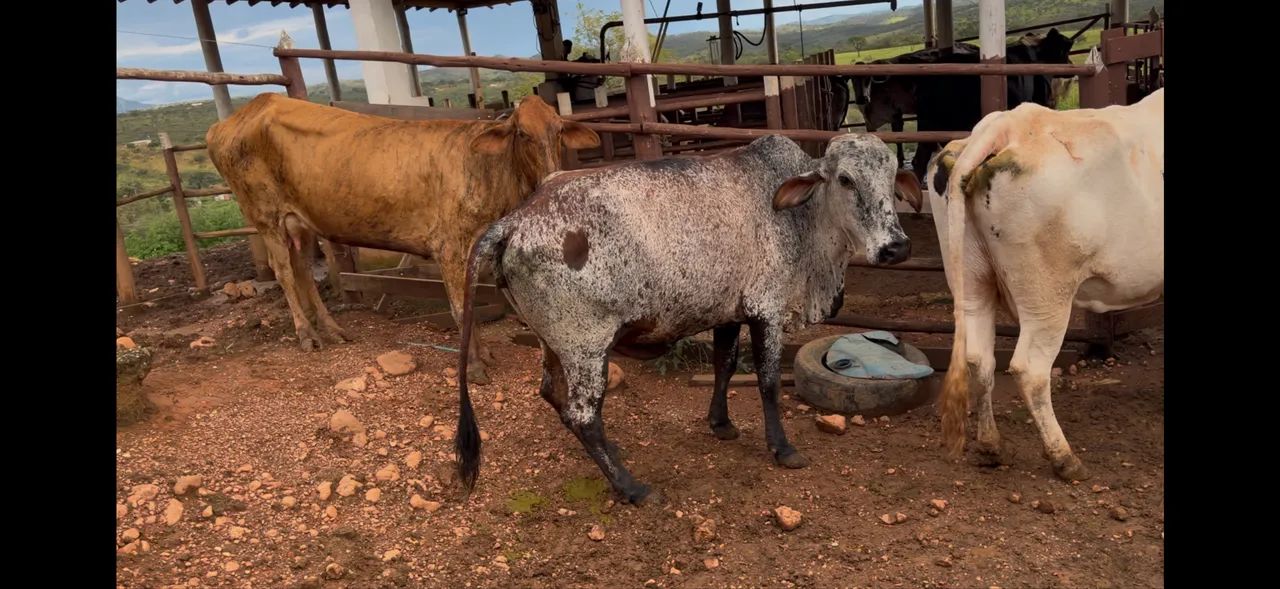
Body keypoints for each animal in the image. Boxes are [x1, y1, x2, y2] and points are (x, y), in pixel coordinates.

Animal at [206, 94, 600, 384]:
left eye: (559, 130)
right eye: (521, 133)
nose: (553, 176)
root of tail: (234, 118)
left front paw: (484, 354)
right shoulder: (449, 247)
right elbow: (461, 309)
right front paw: (473, 367)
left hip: (298, 221)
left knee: (302, 269)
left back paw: (333, 329)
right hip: (265, 216)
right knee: (284, 271)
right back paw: (307, 335)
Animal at [452, 133, 924, 504]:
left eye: (891, 177)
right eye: (845, 179)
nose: (896, 247)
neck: (801, 219)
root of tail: (514, 221)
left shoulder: (730, 312)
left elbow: (724, 365)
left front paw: (722, 424)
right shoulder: (767, 311)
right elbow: (768, 382)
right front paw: (782, 449)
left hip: (553, 342)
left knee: (552, 393)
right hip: (585, 345)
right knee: (582, 415)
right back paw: (632, 487)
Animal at [926, 89, 1163, 481]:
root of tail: (1009, 124)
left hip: (973, 280)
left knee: (979, 358)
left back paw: (991, 446)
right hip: (1047, 296)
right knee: (1030, 370)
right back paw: (1064, 458)